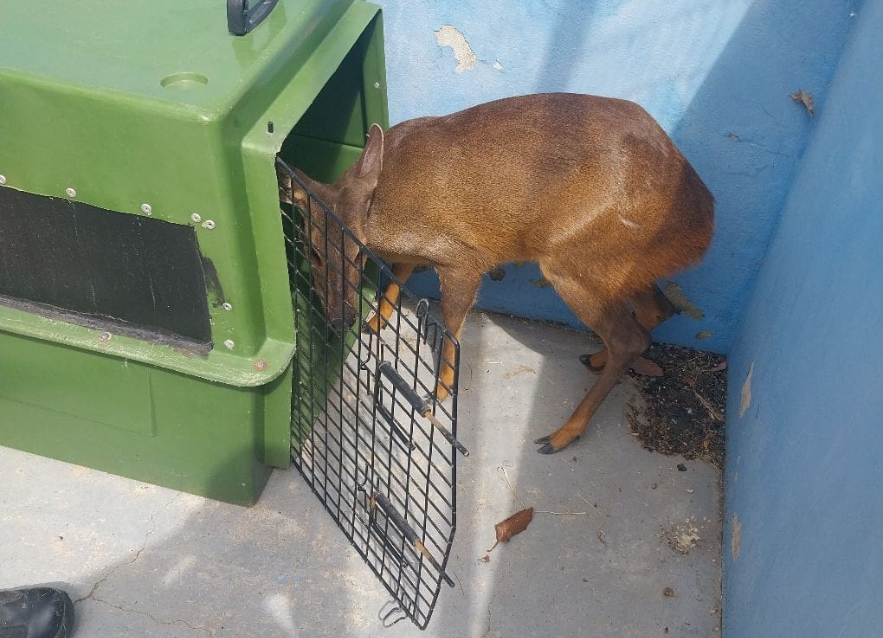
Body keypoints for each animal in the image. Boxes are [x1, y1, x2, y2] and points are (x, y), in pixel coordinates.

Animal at [280, 94, 716, 456]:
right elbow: (398, 275)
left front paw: (440, 393)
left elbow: (452, 326)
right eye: (313, 252)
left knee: (631, 337)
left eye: (357, 253)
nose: (341, 319)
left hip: (571, 257)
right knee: (656, 312)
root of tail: (703, 224)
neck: (384, 203)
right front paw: (375, 322)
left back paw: (562, 433)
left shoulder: (463, 258)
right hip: (617, 264)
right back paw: (595, 357)